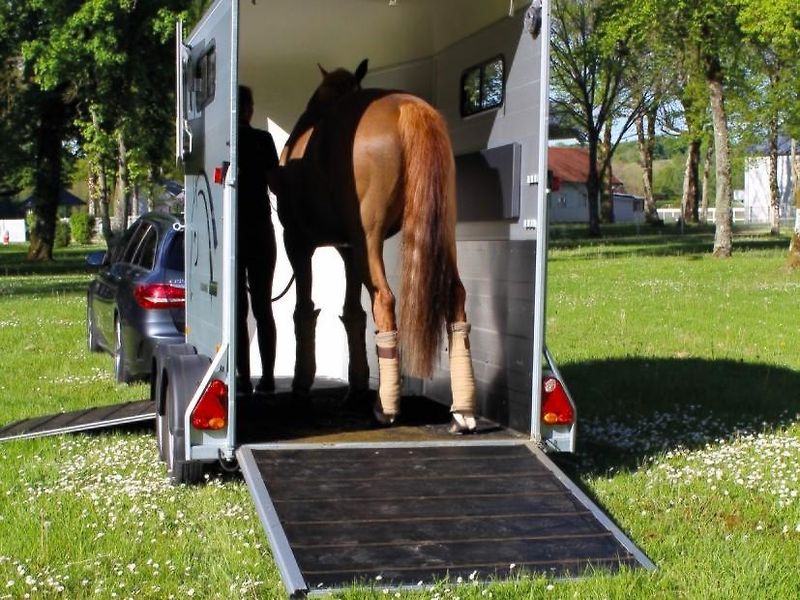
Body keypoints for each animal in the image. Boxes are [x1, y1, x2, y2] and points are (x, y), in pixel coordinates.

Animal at [271, 59, 477, 433]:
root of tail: (406, 106)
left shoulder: (297, 242)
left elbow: (303, 311)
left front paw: (301, 387)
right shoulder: (349, 249)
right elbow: (352, 313)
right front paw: (355, 386)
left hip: (368, 239)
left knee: (384, 298)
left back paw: (386, 406)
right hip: (439, 232)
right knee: (455, 295)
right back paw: (463, 411)